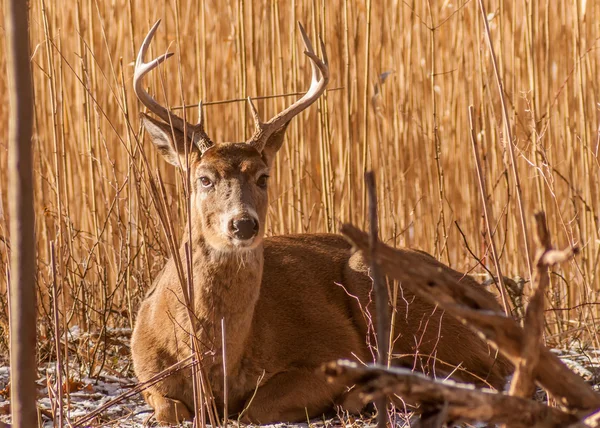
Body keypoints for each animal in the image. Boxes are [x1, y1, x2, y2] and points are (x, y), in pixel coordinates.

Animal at [132, 20, 510, 424]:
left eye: (264, 176)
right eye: (203, 178)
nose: (243, 224)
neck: (215, 365)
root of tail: (494, 302)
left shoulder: (331, 353)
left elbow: (253, 409)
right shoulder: (147, 374)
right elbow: (170, 408)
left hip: (381, 284)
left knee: (479, 376)